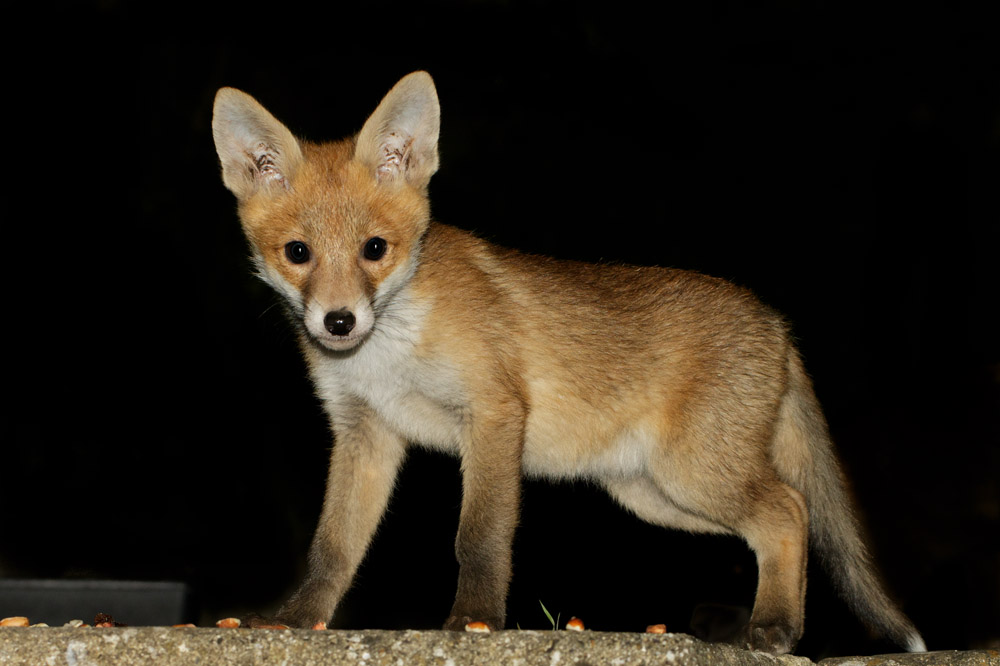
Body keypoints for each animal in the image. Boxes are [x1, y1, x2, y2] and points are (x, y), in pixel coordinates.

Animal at [211, 71, 926, 655]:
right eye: (298, 252)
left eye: (375, 248)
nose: (338, 323)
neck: (385, 355)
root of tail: (778, 325)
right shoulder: (366, 432)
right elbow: (333, 549)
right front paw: (295, 622)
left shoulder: (494, 412)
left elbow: (479, 537)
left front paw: (474, 623)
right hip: (654, 494)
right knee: (779, 520)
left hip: (694, 472)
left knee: (790, 511)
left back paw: (775, 628)